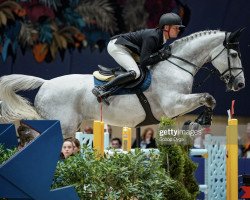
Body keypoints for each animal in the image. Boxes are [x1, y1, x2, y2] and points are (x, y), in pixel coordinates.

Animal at [0, 29, 245, 138]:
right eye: (233, 54)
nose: (240, 85)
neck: (176, 65)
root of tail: (46, 83)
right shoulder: (173, 104)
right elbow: (208, 97)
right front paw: (202, 121)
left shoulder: (176, 109)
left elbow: (207, 100)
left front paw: (198, 122)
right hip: (62, 125)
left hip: (69, 127)